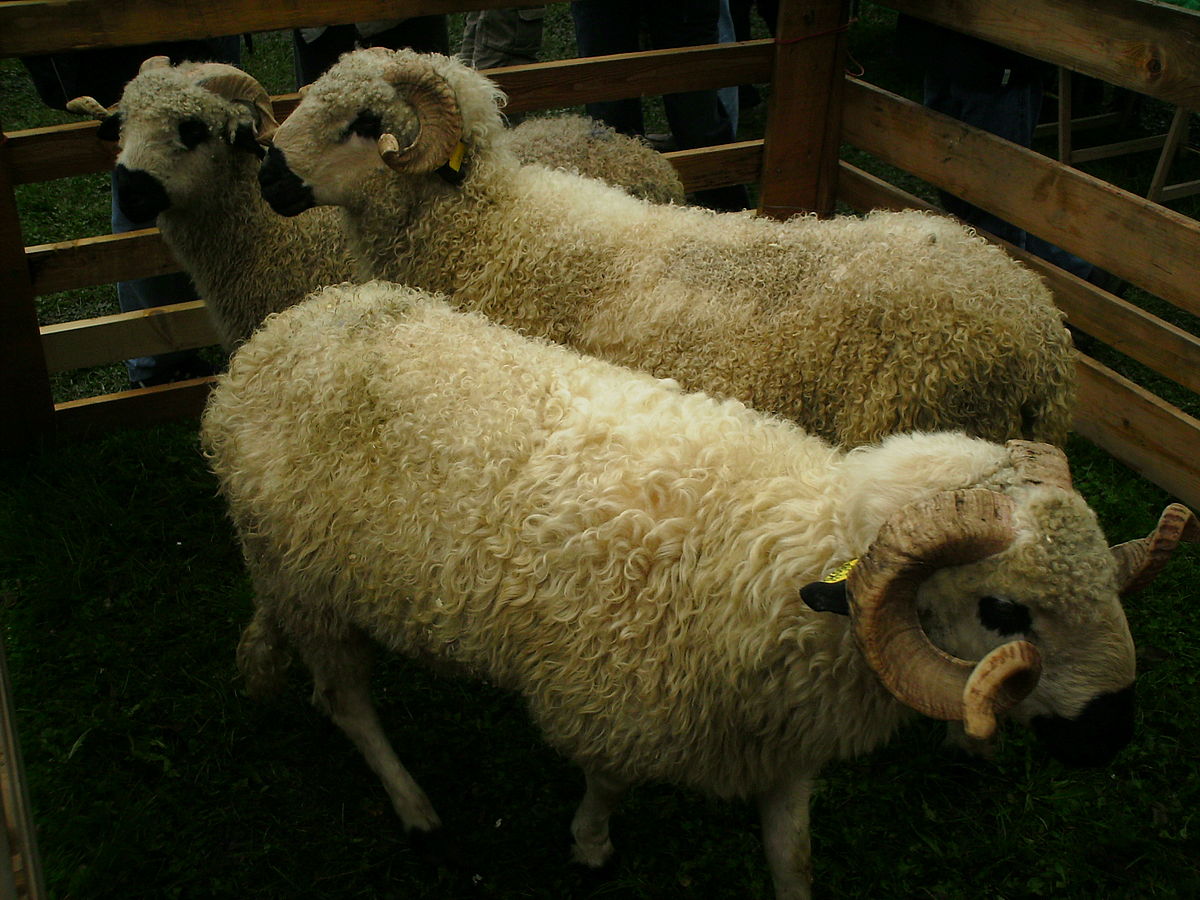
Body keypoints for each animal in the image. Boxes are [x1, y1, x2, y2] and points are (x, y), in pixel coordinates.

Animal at [202, 279, 1194, 900]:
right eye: (1002, 611)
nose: (1115, 732)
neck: (781, 566)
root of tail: (278, 337)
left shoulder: (782, 744)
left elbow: (793, 859)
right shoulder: (609, 697)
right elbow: (606, 781)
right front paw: (591, 847)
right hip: (307, 582)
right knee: (346, 702)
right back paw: (414, 808)